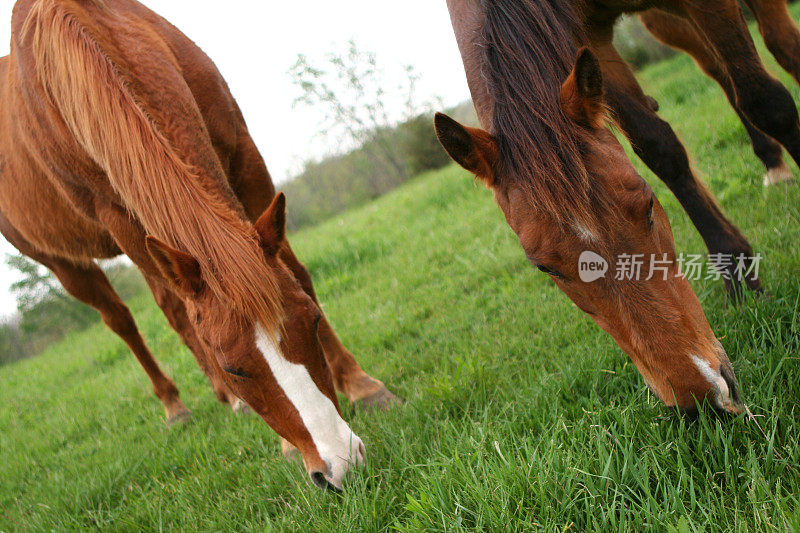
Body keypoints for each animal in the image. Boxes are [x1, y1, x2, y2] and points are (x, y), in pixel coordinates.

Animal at [0, 0, 400, 490]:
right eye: (234, 368)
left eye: (312, 320)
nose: (338, 465)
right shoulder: (119, 216)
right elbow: (180, 313)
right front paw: (281, 436)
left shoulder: (245, 156)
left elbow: (296, 271)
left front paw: (361, 384)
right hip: (62, 263)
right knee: (128, 319)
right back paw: (178, 405)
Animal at [438, 0, 768, 414]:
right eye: (546, 268)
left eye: (648, 206)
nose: (702, 399)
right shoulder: (592, 41)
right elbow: (659, 147)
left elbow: (763, 98)